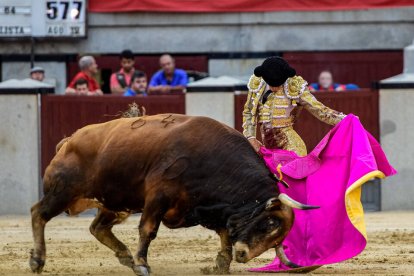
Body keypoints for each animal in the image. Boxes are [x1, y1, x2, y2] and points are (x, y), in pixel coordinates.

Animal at [29, 113, 316, 274]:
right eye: (268, 223)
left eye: (278, 238)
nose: (244, 255)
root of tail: (68, 142)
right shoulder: (158, 196)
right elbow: (148, 230)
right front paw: (143, 264)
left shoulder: (209, 207)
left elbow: (224, 232)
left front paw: (221, 263)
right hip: (63, 192)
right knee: (38, 214)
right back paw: (37, 260)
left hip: (114, 203)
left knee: (98, 227)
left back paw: (125, 256)